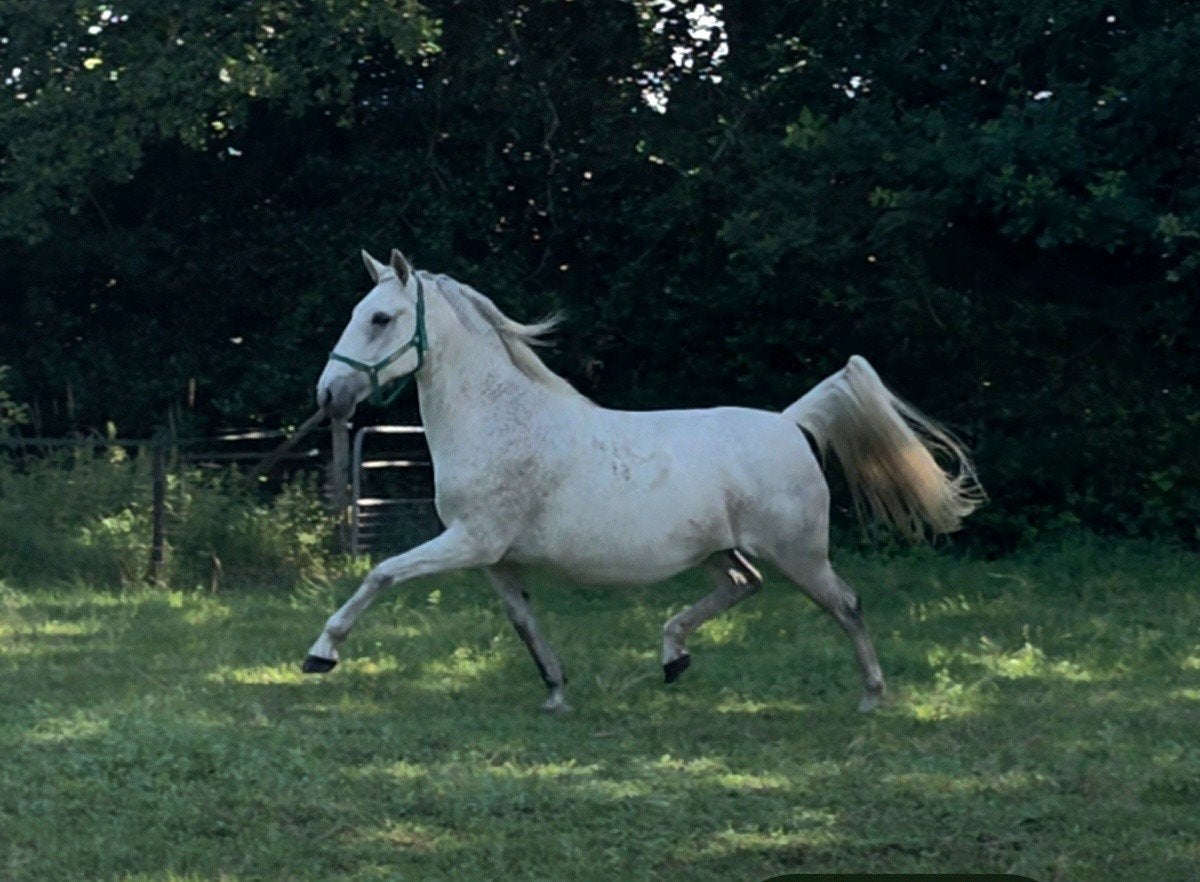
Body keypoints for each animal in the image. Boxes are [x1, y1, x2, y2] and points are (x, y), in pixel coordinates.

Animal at [303, 248, 983, 713]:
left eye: (381, 318)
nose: (329, 395)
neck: (500, 420)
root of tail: (790, 423)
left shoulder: (471, 542)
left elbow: (381, 574)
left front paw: (321, 654)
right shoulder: (495, 557)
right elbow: (524, 623)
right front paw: (556, 692)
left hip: (799, 553)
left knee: (845, 603)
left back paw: (871, 695)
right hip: (721, 550)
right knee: (744, 585)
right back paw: (672, 657)